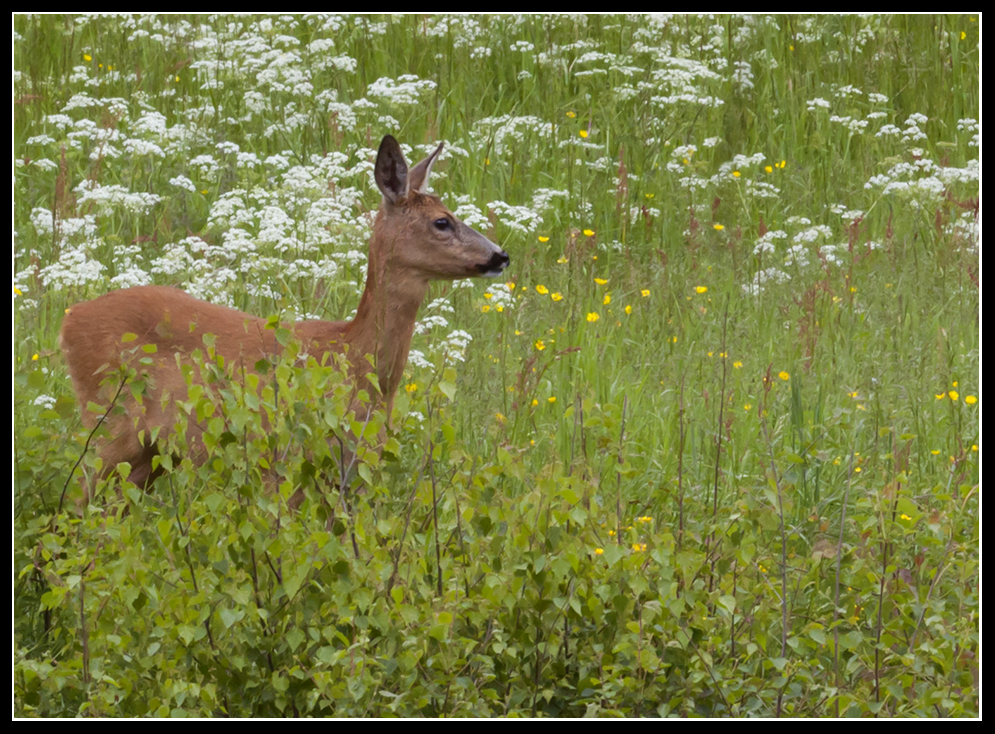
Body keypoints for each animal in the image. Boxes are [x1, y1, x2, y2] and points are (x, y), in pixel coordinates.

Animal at [60, 135, 512, 498]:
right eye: (442, 221)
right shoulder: (286, 459)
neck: (355, 360)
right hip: (110, 425)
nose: (500, 256)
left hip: (147, 453)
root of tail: (69, 318)